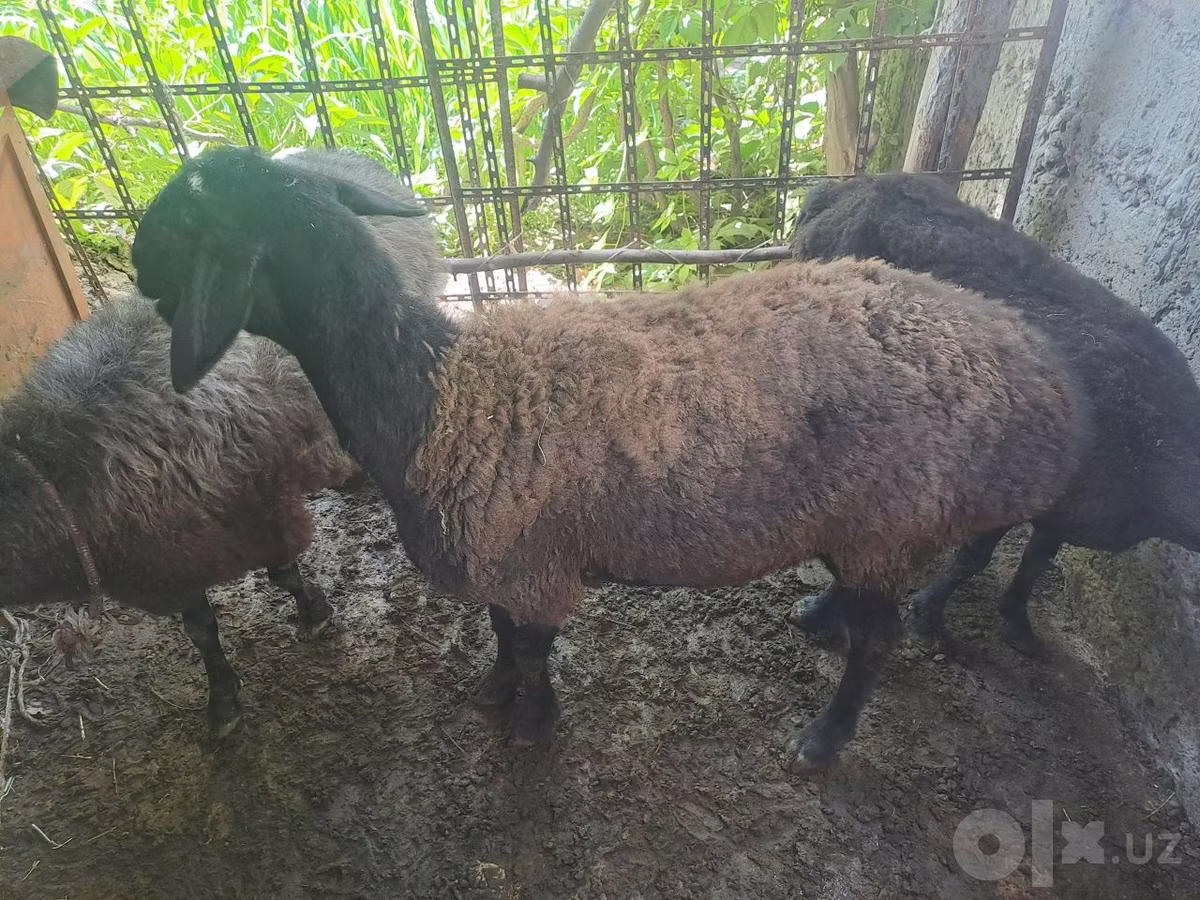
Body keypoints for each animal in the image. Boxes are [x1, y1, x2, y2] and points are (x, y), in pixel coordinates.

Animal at [0, 148, 446, 738]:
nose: (143, 275)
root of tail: (344, 155)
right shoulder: (170, 567)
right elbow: (201, 631)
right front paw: (223, 700)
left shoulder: (263, 513)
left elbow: (283, 574)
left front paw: (315, 614)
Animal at [131, 146, 1085, 769]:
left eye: (183, 220)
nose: (134, 265)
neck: (433, 390)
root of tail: (1026, 361)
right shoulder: (503, 557)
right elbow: (500, 634)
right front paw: (492, 693)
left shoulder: (531, 561)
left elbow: (531, 650)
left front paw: (531, 726)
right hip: (871, 525)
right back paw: (821, 613)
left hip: (891, 512)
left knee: (881, 642)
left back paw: (823, 740)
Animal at [788, 172, 1200, 655]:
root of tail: (847, 188)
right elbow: (973, 557)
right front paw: (926, 617)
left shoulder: (1063, 511)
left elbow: (1036, 562)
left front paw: (1017, 623)